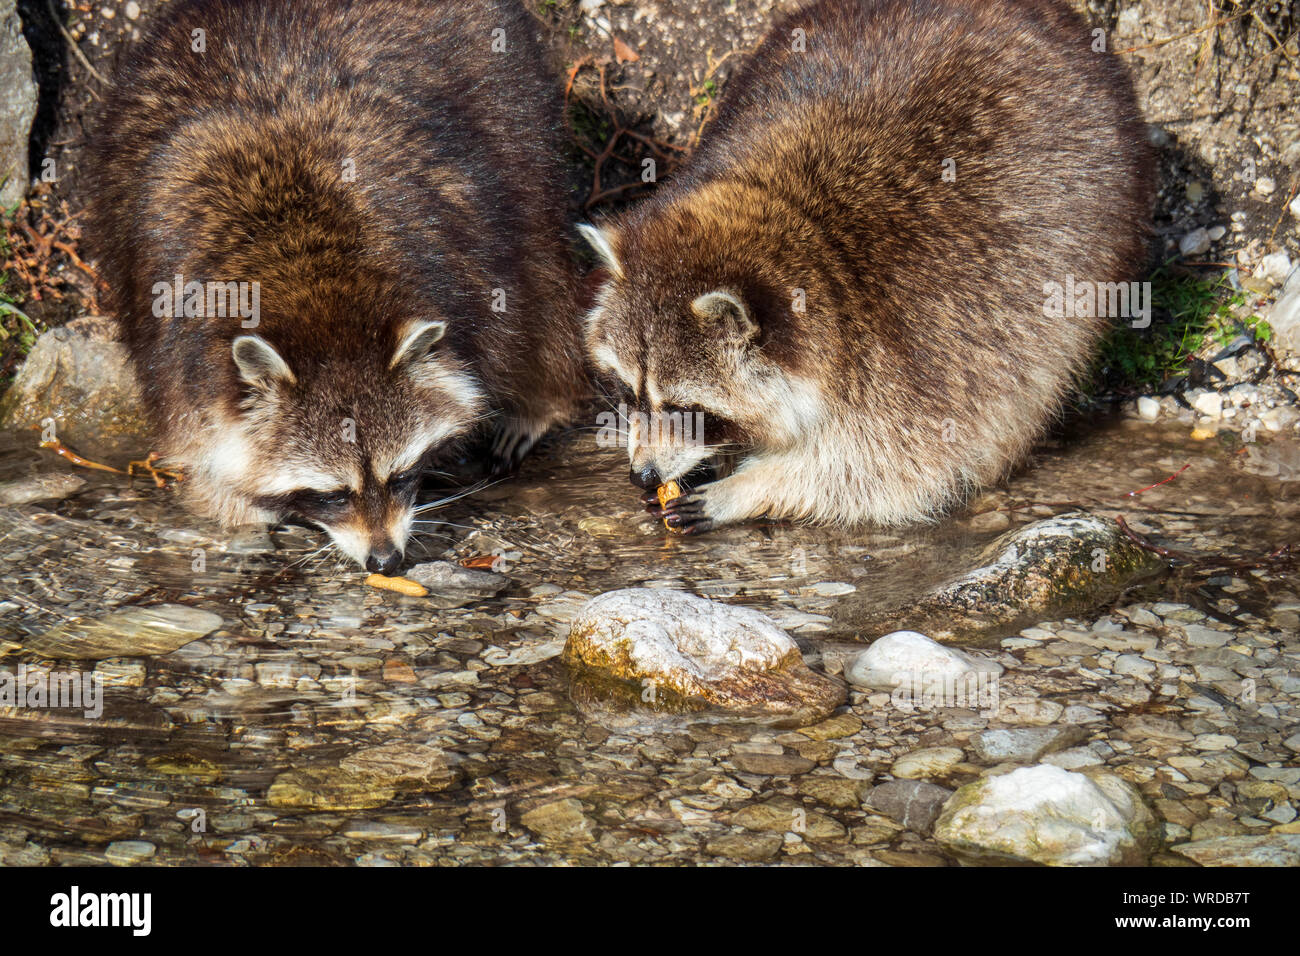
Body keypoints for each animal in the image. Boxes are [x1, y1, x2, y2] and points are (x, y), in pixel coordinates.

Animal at [83, 0, 582, 567]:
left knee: (538, 265)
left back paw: (541, 399)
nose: (385, 561)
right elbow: (195, 429)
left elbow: (504, 315)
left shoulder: (462, 264)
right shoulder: (175, 339)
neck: (317, 292)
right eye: (333, 494)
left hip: (515, 113)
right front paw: (238, 503)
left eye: (400, 476)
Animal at [585, 0, 1154, 535]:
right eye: (628, 392)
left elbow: (888, 472)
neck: (796, 222)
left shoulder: (913, 356)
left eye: (690, 411)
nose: (641, 475)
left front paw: (750, 487)